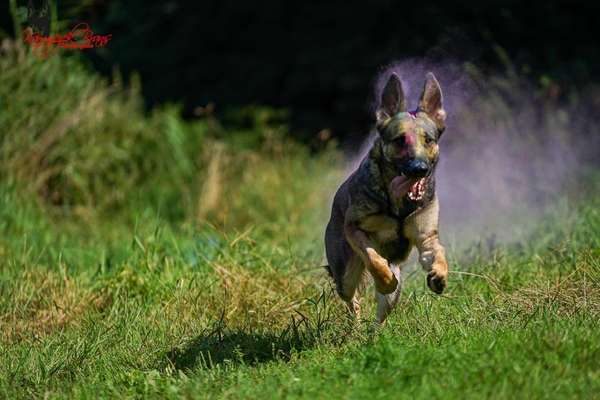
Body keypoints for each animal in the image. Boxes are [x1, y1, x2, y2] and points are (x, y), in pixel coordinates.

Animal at [326, 71, 448, 322]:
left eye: (428, 140)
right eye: (400, 140)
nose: (419, 169)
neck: (398, 206)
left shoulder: (426, 237)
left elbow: (438, 252)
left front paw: (439, 275)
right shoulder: (354, 228)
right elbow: (373, 258)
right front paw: (384, 280)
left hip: (391, 299)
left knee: (380, 316)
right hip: (345, 276)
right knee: (352, 301)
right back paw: (357, 325)